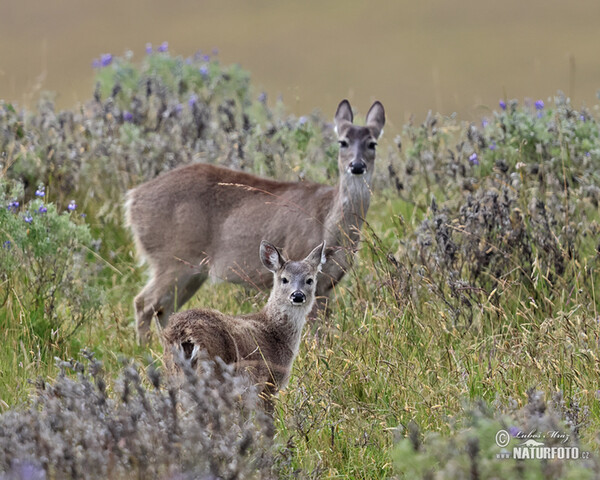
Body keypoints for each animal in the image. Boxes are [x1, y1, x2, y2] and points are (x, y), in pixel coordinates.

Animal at [127, 99, 386, 344]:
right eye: (342, 142)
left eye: (372, 143)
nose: (357, 165)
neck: (329, 225)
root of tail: (132, 199)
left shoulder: (326, 284)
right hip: (172, 259)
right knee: (144, 303)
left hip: (191, 271)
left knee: (164, 309)